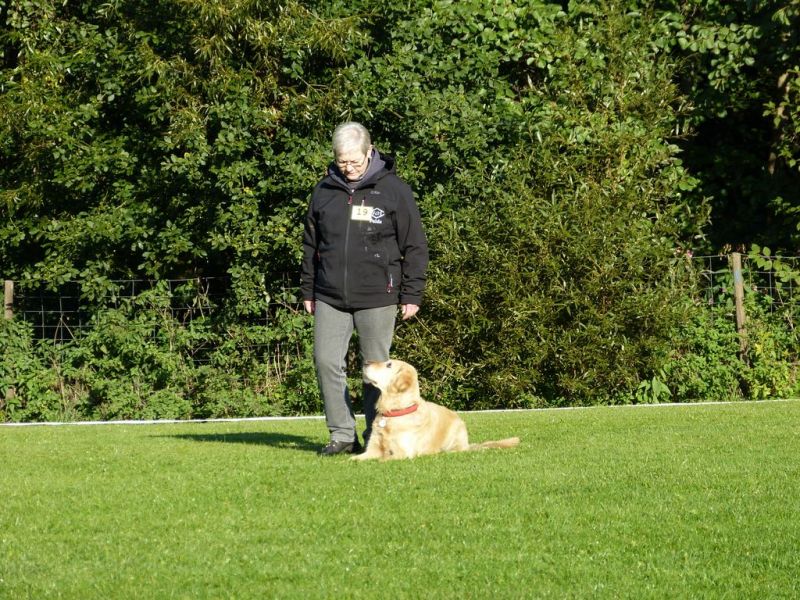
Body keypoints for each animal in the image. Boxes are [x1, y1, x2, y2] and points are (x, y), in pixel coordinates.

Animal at [352, 359, 520, 461]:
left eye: (389, 365)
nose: (365, 362)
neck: (393, 411)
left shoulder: (404, 452)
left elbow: (384, 458)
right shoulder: (373, 447)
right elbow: (359, 458)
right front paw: (351, 460)